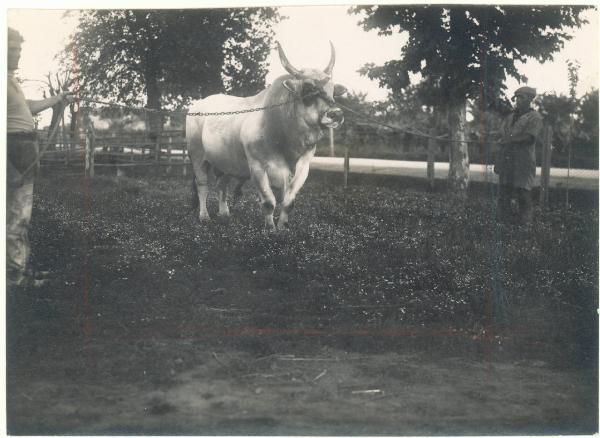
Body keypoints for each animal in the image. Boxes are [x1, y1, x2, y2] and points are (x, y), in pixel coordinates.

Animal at [188, 42, 346, 231]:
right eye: (308, 88)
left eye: (333, 90)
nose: (336, 114)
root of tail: (198, 104)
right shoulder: (257, 167)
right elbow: (269, 202)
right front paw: (270, 229)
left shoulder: (303, 167)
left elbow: (288, 202)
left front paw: (282, 227)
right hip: (197, 156)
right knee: (202, 185)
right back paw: (204, 216)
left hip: (225, 161)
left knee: (222, 185)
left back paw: (224, 213)